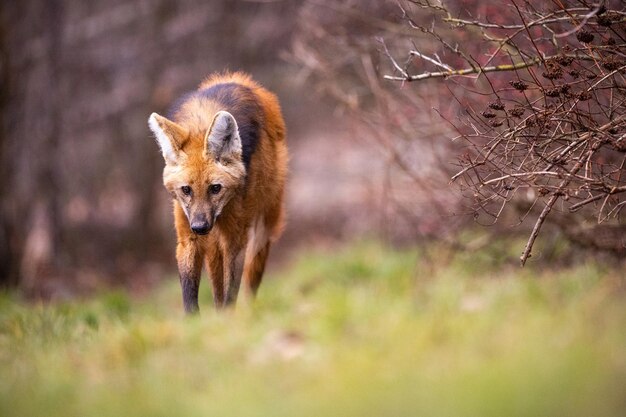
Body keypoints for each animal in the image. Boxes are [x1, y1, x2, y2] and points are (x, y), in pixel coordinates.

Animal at [149, 72, 288, 312]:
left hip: (262, 225)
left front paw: (228, 318)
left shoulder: (235, 238)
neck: (202, 122)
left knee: (250, 278)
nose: (200, 226)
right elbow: (190, 294)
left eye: (215, 188)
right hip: (213, 240)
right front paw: (196, 321)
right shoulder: (188, 236)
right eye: (186, 190)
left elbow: (231, 293)